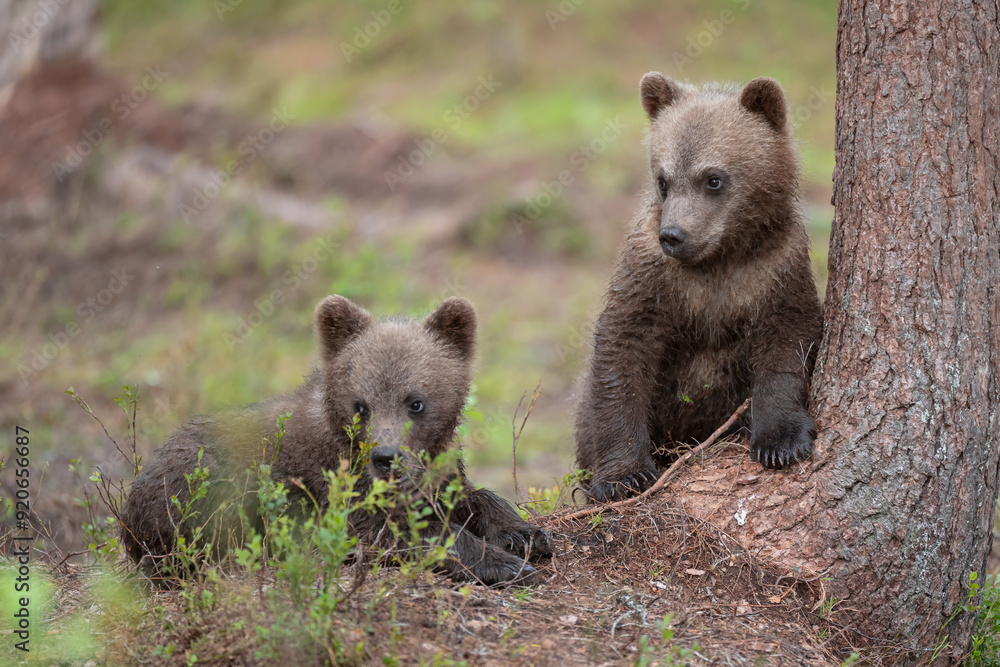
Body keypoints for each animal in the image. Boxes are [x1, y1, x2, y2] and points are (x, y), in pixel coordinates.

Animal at [119, 295, 552, 586]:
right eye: (361, 405)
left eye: (416, 402)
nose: (386, 457)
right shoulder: (335, 493)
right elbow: (400, 530)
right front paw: (503, 563)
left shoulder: (434, 470)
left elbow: (471, 495)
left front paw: (525, 534)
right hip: (203, 483)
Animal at [574, 73, 823, 503]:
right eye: (664, 179)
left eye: (713, 179)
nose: (673, 235)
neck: (719, 259)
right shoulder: (652, 276)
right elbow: (622, 348)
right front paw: (623, 476)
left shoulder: (775, 268)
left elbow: (788, 340)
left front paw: (780, 442)